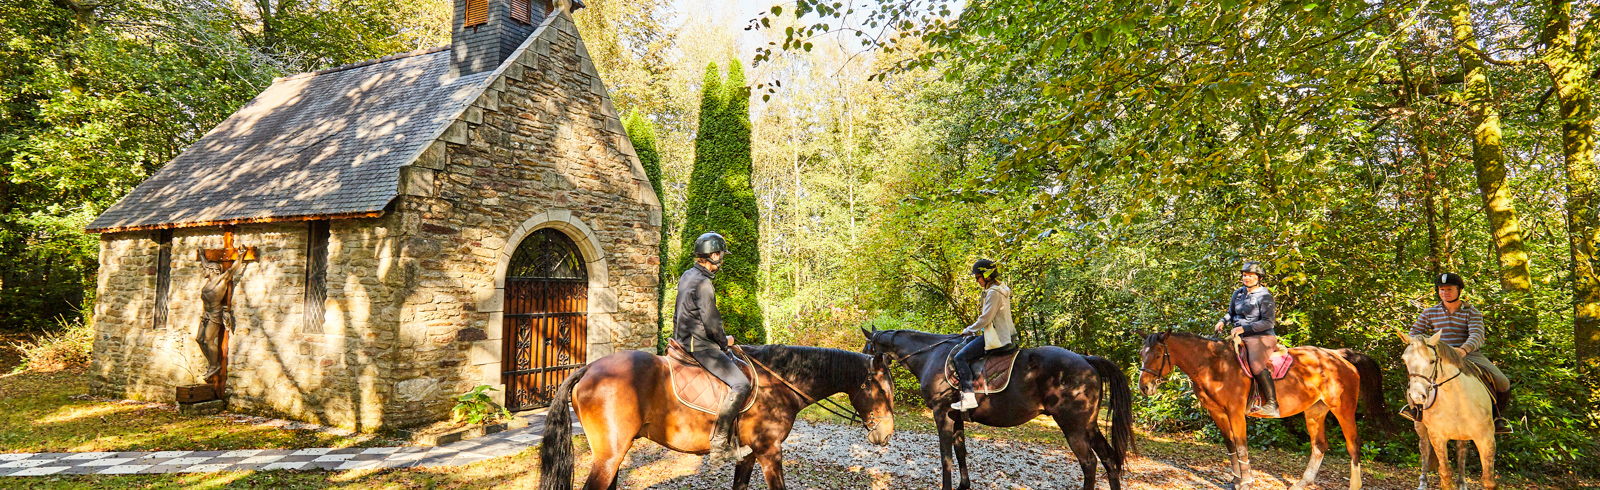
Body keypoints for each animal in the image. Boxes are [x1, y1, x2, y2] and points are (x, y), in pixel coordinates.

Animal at [540, 344, 896, 490]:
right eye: (881, 391)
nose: (887, 434)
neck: (779, 382)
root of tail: (588, 369)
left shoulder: (750, 455)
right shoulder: (770, 452)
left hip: (612, 457)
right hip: (609, 456)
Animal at [864, 325, 1139, 490]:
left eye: (868, 347)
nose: (865, 365)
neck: (930, 355)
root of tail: (1085, 359)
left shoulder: (942, 414)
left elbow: (945, 456)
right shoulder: (956, 415)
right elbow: (960, 451)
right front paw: (964, 486)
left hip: (1073, 427)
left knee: (1089, 463)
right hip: (1089, 426)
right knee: (1109, 459)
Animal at [1139, 329, 1388, 490]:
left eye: (1158, 355)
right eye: (1142, 354)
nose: (1144, 387)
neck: (1213, 365)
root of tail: (1337, 356)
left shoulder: (1235, 412)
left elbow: (1241, 446)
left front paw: (1246, 482)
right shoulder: (1217, 413)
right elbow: (1230, 445)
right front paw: (1236, 480)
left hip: (1343, 409)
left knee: (1353, 445)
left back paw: (1354, 485)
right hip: (1315, 412)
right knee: (1319, 445)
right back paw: (1301, 483)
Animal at [1401, 329, 1497, 490]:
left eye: (1432, 361)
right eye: (1405, 360)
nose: (1417, 396)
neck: (1455, 398)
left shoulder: (1486, 438)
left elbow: (1489, 480)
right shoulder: (1437, 437)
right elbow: (1445, 472)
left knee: (1461, 452)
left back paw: (1462, 483)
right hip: (1420, 426)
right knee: (1424, 449)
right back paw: (1423, 482)